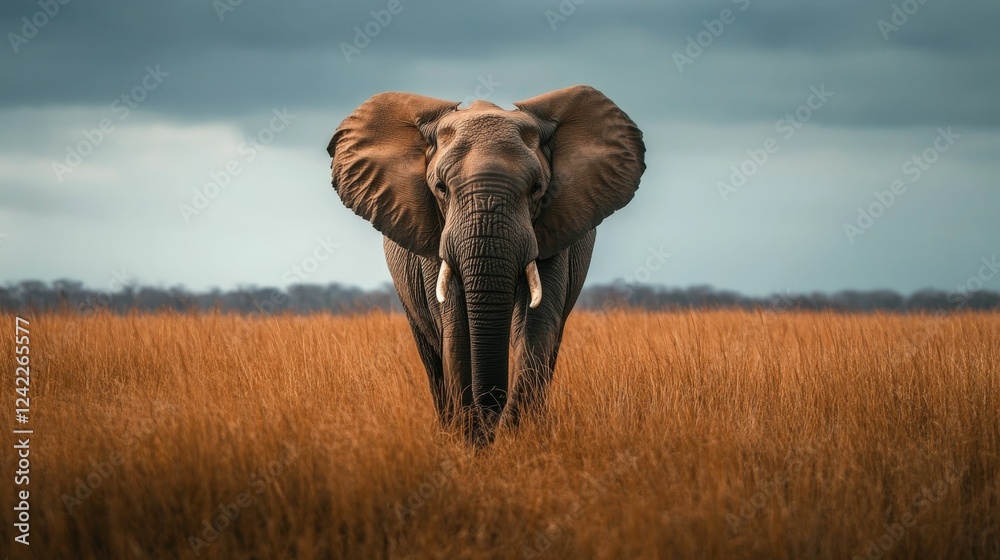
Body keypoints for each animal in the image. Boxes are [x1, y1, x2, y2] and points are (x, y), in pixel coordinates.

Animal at [326, 85, 645, 444]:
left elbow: (534, 327)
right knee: (431, 356)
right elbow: (455, 330)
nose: (492, 409)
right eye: (440, 188)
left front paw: (513, 439)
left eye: (536, 189)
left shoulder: (555, 228)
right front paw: (473, 442)